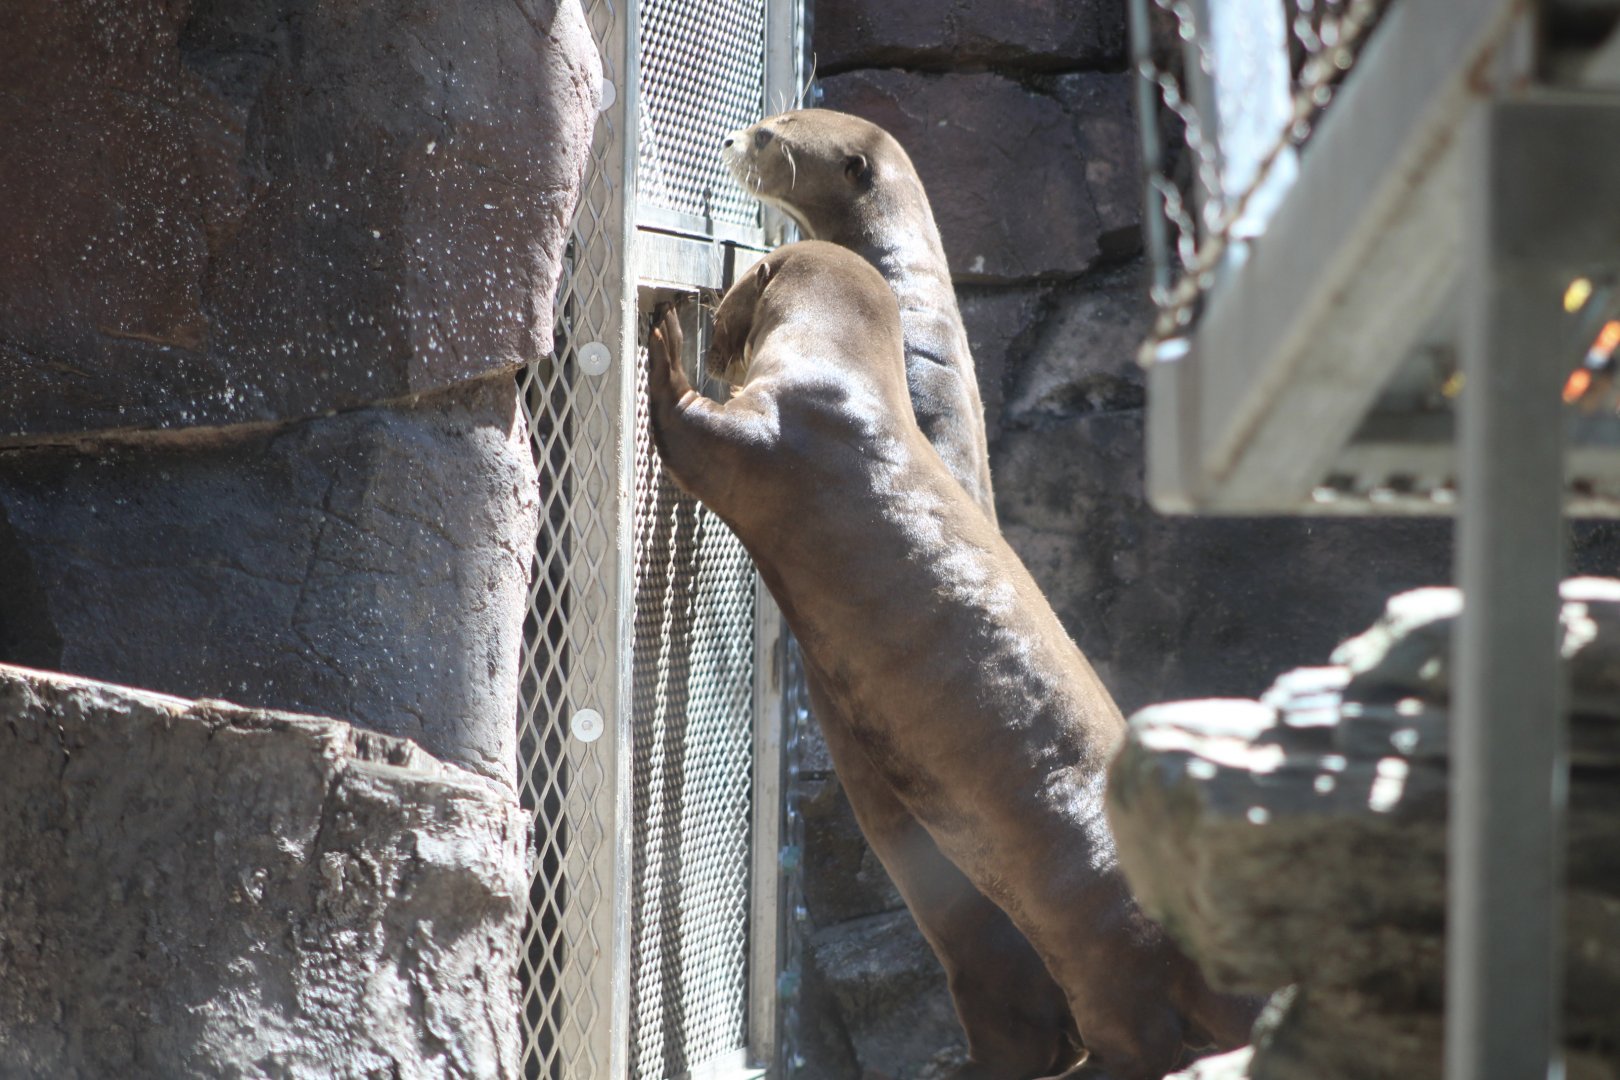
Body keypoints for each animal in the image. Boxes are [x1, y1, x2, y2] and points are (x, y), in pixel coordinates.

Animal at [647, 241, 1259, 1080]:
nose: (715, 316)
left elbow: (689, 431)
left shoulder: (775, 432)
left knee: (1129, 1040)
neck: (843, 373)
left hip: (1105, 956)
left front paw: (665, 336)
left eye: (739, 288)